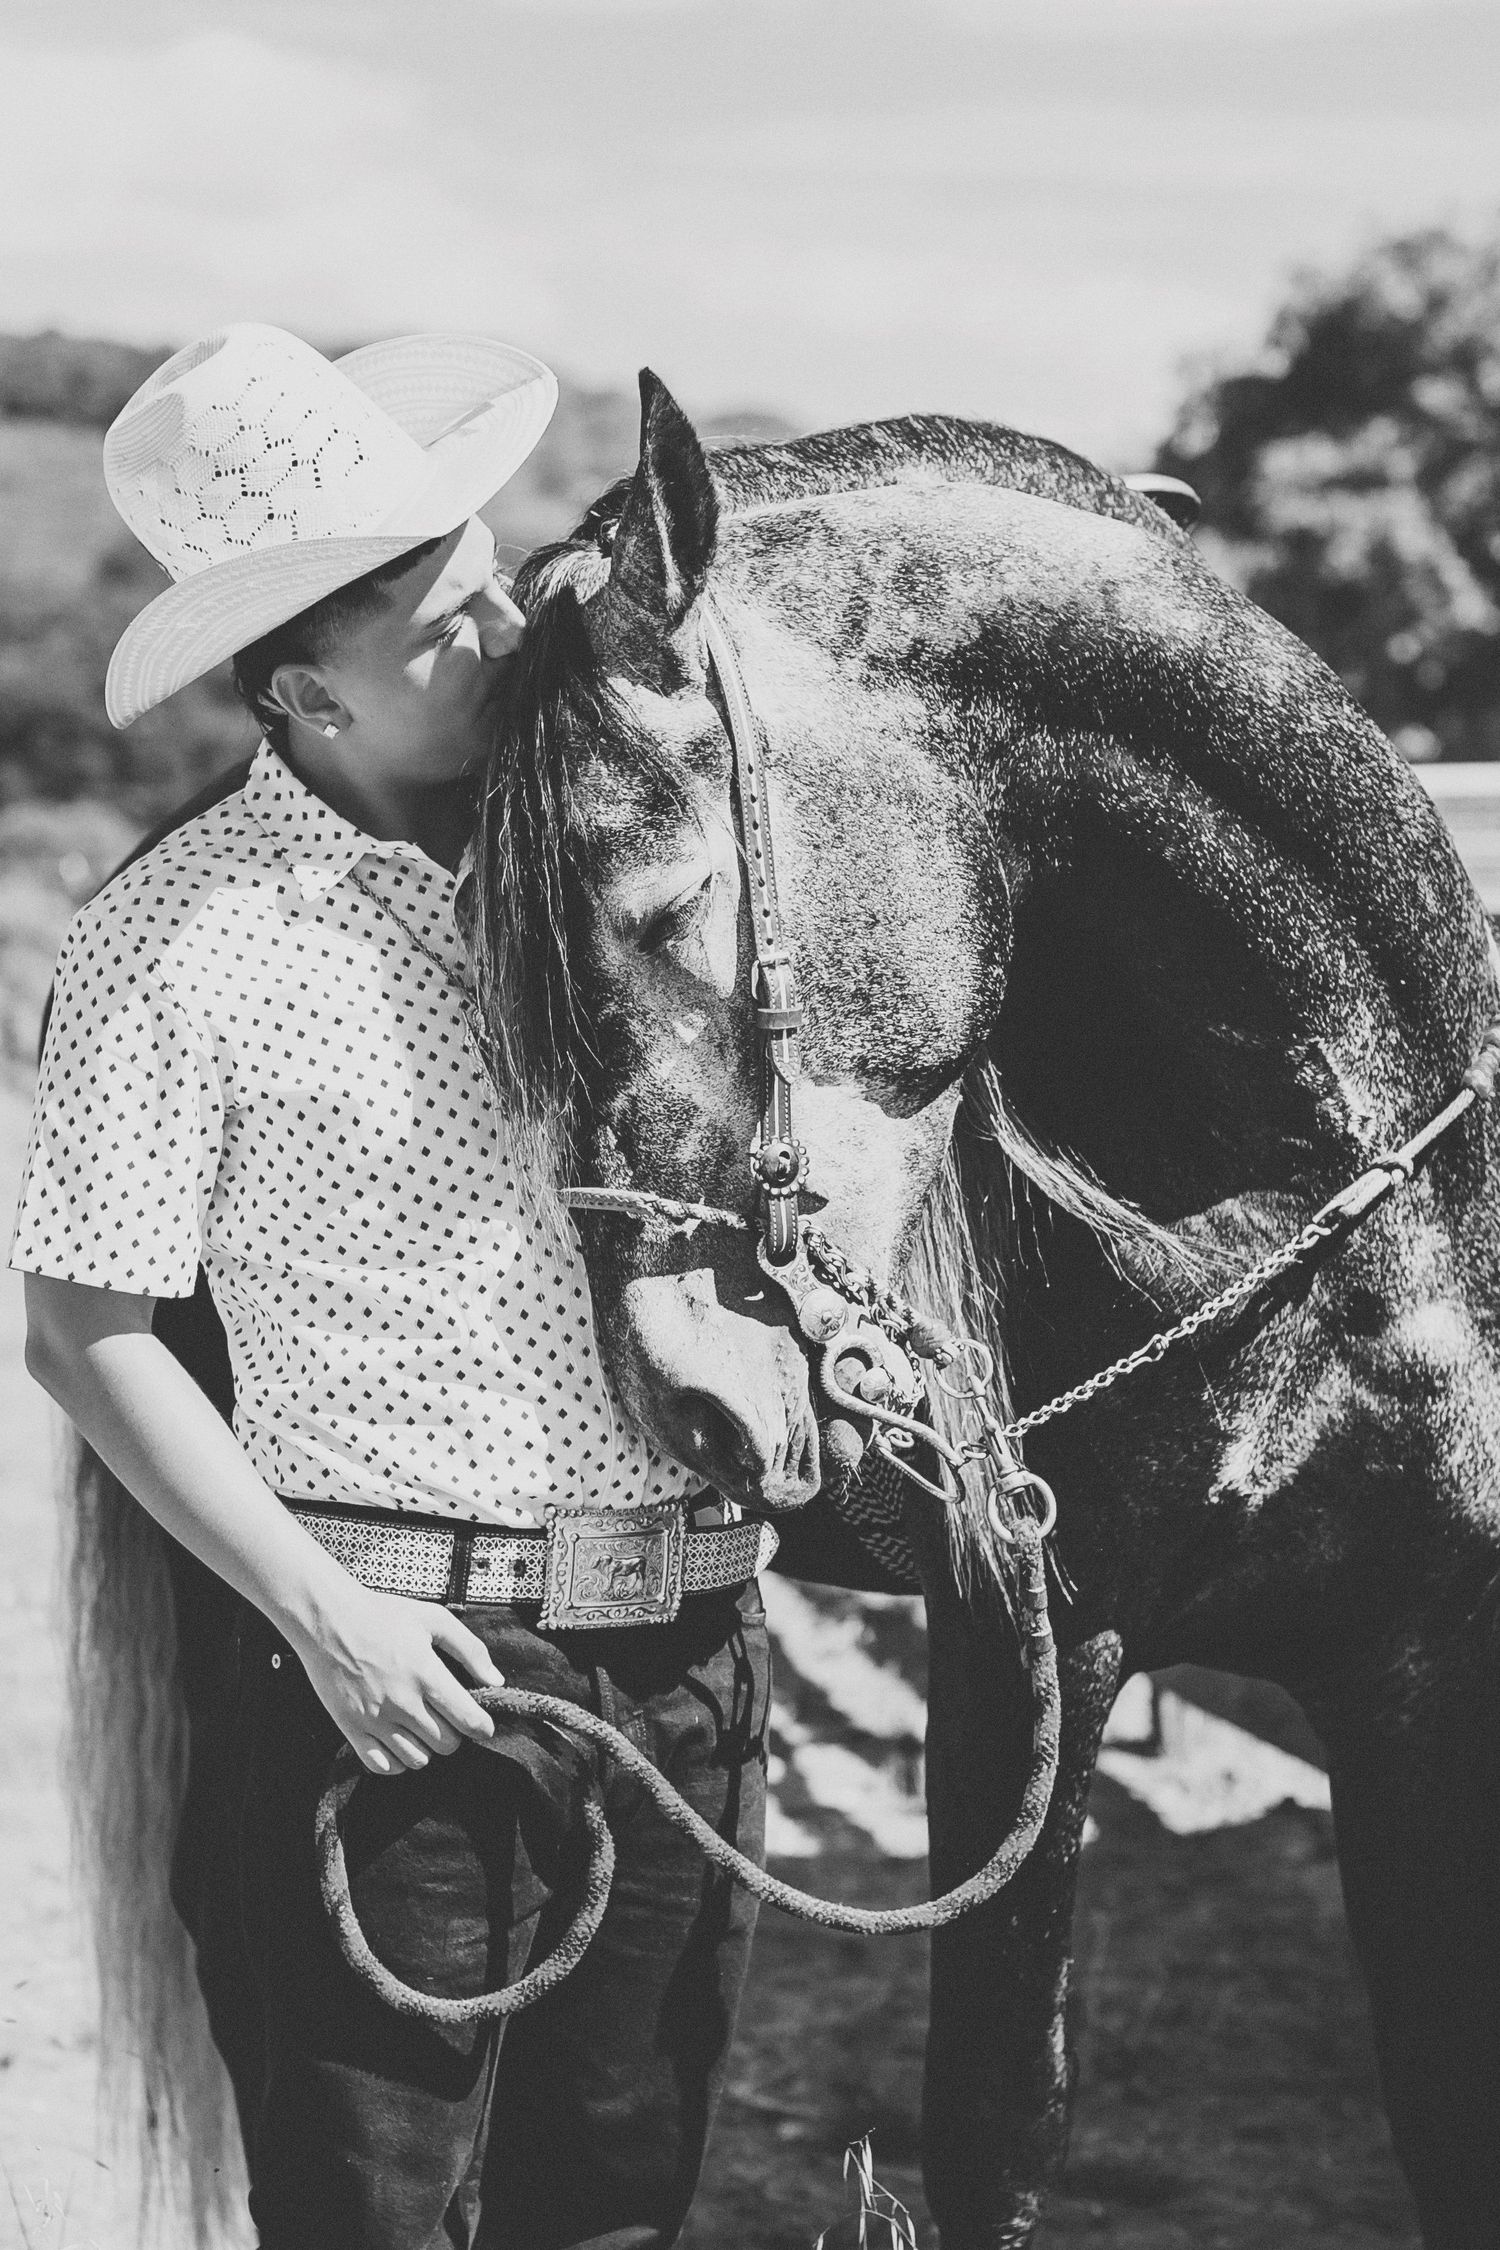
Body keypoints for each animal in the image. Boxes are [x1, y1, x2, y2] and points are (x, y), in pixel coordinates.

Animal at [458, 372, 1500, 2249]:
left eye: (665, 905)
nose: (682, 1401)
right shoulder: (1034, 1654)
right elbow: (1001, 2121)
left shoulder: (1424, 1669)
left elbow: (1447, 2108)